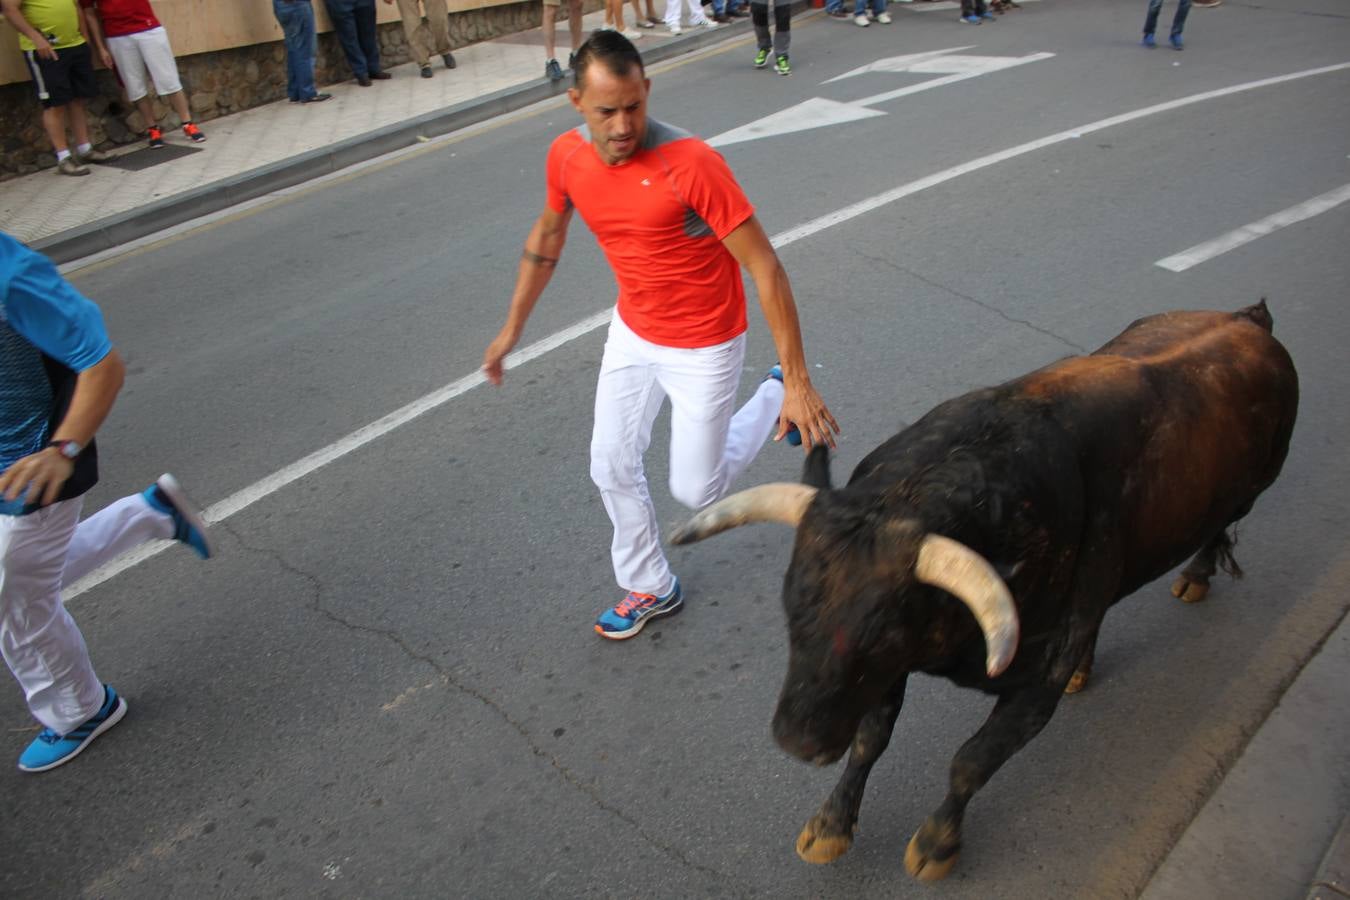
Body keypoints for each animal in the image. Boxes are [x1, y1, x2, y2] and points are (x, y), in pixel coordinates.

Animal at [672, 300, 1296, 879]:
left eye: (883, 630)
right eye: (792, 605)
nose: (796, 740)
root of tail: (1246, 320)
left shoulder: (1031, 685)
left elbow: (972, 760)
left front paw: (936, 845)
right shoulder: (890, 674)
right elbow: (871, 739)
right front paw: (829, 827)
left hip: (1251, 491)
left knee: (1217, 530)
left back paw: (1194, 578)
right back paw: (1086, 667)